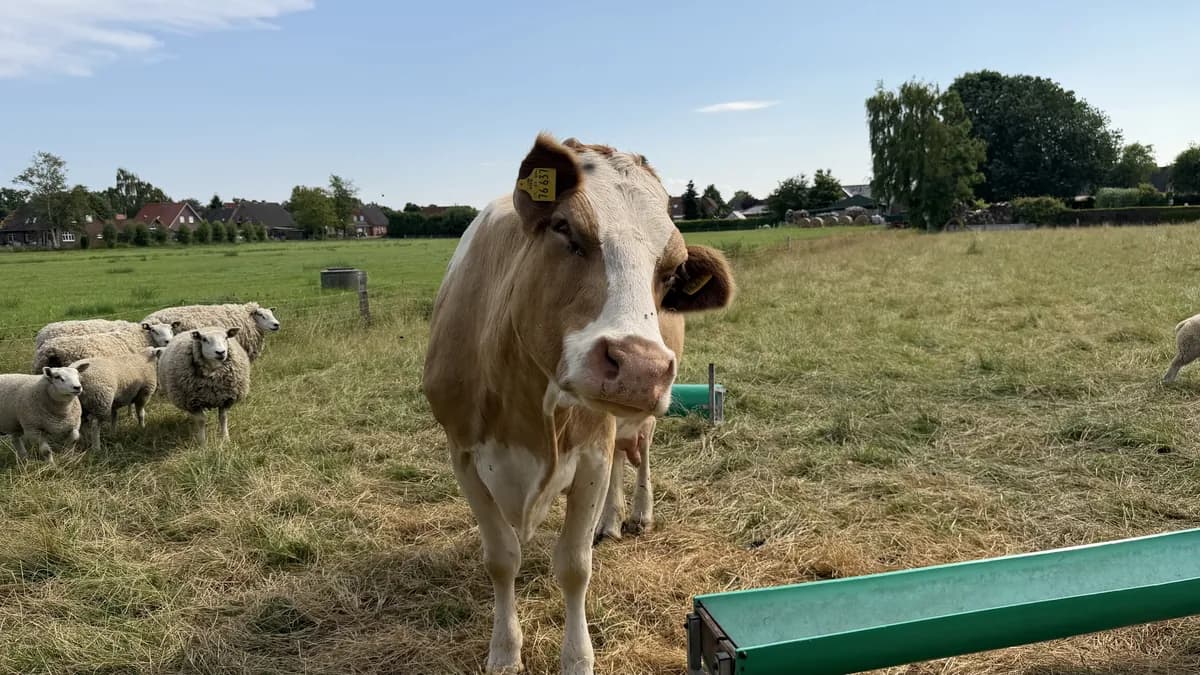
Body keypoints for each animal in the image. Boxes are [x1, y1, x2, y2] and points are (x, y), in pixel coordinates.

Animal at [422, 132, 735, 674]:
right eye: (565, 228)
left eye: (673, 270)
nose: (639, 367)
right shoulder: (461, 453)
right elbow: (501, 557)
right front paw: (504, 651)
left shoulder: (590, 452)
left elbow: (573, 565)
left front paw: (577, 658)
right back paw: (608, 521)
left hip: (637, 420)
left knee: (639, 458)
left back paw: (636, 514)